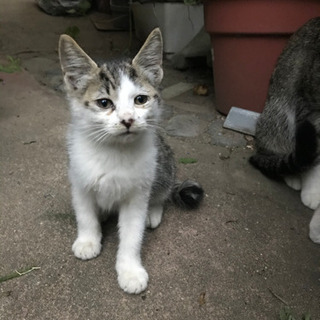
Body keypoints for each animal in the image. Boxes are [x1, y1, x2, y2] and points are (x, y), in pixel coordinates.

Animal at [58, 28, 204, 294]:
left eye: (140, 99)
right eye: (104, 103)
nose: (127, 120)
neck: (113, 151)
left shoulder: (137, 194)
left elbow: (132, 235)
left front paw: (130, 270)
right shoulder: (79, 177)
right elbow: (84, 214)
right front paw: (88, 240)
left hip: (163, 163)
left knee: (162, 192)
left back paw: (152, 212)